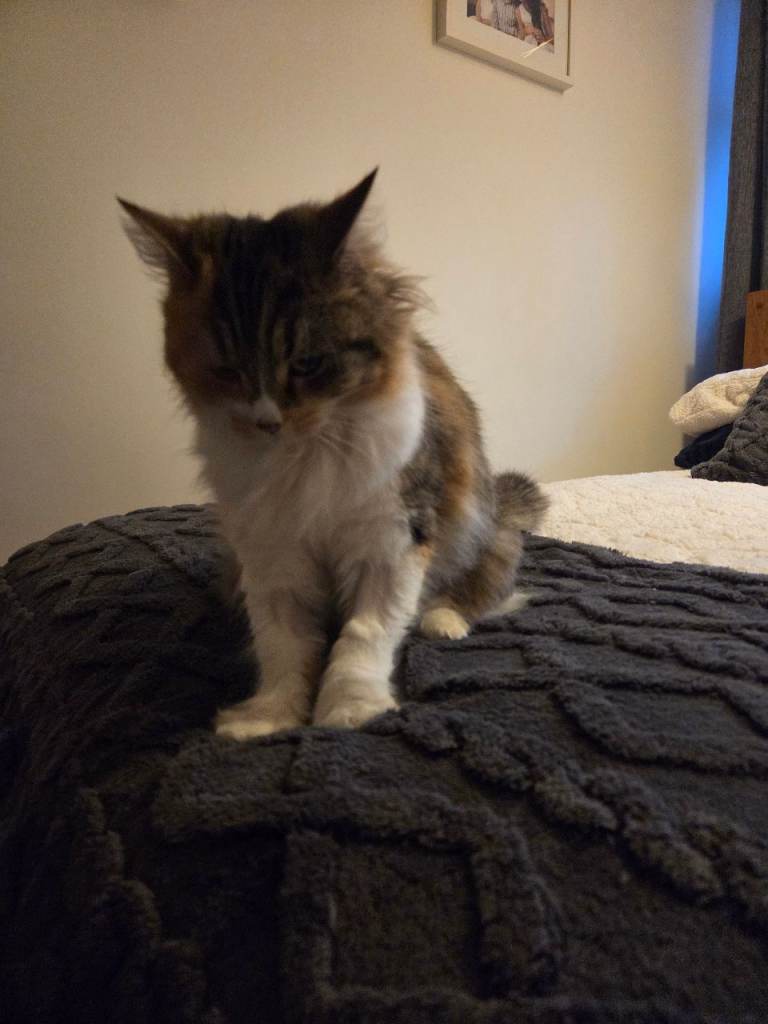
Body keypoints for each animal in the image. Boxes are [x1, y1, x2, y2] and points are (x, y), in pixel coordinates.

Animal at [120, 170, 547, 739]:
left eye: (307, 363)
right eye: (228, 371)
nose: (268, 421)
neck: (303, 461)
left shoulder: (391, 542)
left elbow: (363, 637)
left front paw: (351, 709)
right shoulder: (273, 555)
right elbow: (284, 647)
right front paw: (269, 717)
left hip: (483, 534)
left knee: (482, 592)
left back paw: (441, 621)